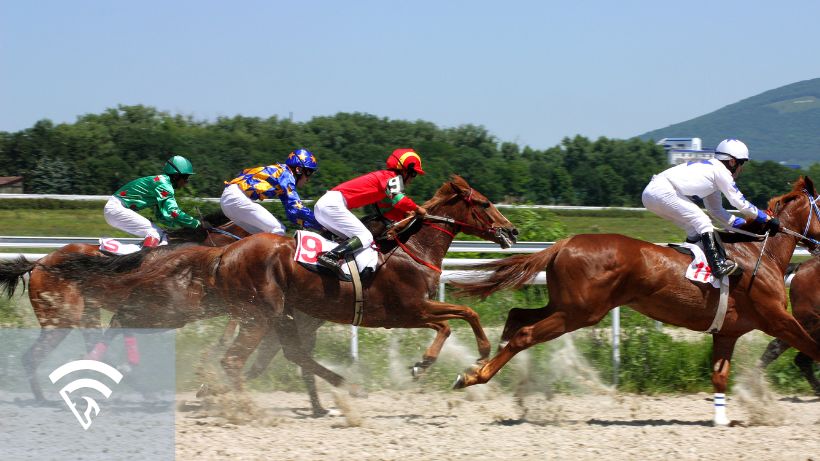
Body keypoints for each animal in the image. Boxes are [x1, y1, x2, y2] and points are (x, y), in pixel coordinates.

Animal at [43, 174, 520, 398]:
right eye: (483, 203)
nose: (512, 230)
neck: (407, 249)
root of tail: (224, 253)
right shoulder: (406, 310)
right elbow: (457, 318)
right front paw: (443, 361)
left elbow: (459, 316)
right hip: (235, 310)